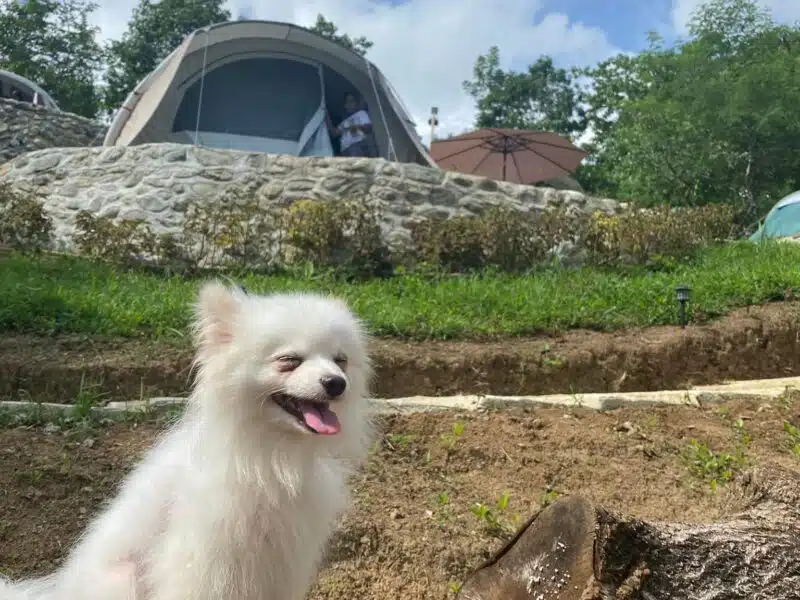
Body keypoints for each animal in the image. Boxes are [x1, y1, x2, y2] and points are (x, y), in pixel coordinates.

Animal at [0, 282, 372, 600]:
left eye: (341, 361)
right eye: (289, 361)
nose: (336, 383)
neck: (269, 455)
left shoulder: (282, 563)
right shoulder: (204, 562)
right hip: (122, 579)